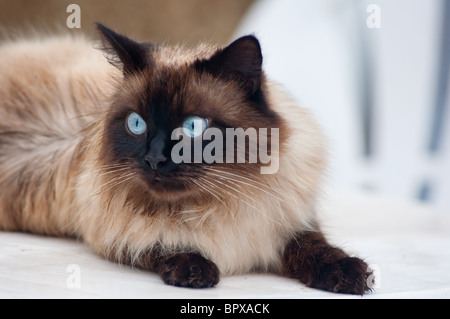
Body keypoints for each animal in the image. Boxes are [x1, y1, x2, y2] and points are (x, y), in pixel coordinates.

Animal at [0, 23, 372, 296]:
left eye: (193, 127)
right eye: (137, 124)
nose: (153, 159)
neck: (224, 202)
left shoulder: (285, 221)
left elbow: (315, 246)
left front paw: (350, 275)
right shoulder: (112, 229)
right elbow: (160, 242)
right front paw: (196, 271)